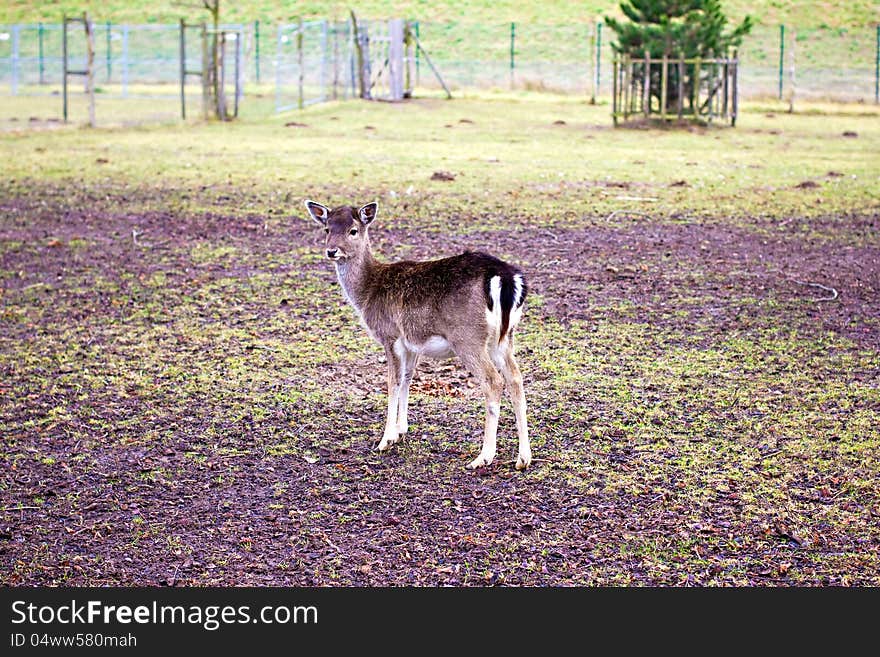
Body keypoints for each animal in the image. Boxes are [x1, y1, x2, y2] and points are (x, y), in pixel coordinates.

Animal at [306, 201, 532, 472]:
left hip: (468, 337)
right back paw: (523, 458)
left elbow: (392, 382)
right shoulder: (412, 343)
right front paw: (400, 431)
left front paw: (384, 440)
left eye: (353, 230)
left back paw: (483, 457)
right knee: (516, 379)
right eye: (327, 229)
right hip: (504, 337)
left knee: (494, 381)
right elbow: (407, 378)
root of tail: (505, 277)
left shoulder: (389, 335)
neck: (367, 293)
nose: (332, 251)